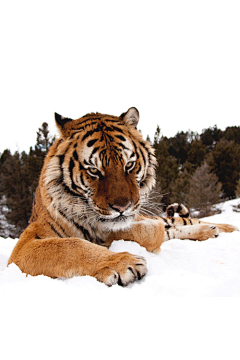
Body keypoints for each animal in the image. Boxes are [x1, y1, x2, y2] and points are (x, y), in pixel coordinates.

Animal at [7, 108, 236, 286]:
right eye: (94, 170)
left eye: (129, 165)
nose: (122, 207)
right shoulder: (25, 244)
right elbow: (70, 246)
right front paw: (123, 263)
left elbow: (146, 231)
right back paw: (210, 231)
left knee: (182, 222)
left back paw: (224, 228)